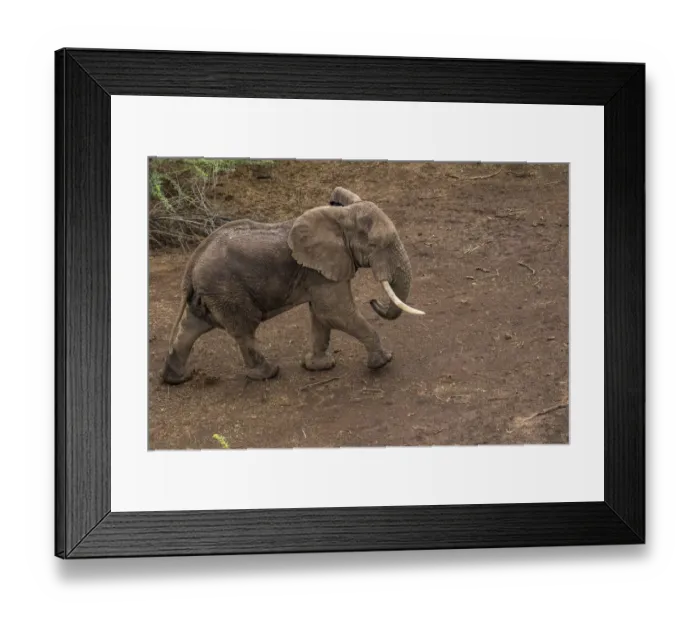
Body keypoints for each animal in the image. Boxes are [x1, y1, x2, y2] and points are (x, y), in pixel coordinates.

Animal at [161, 187, 425, 385]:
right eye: (374, 245)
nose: (374, 301)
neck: (341, 217)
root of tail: (192, 264)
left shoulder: (318, 272)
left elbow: (321, 315)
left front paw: (319, 367)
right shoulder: (320, 270)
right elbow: (335, 312)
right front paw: (383, 361)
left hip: (212, 292)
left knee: (192, 326)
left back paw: (176, 378)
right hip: (225, 289)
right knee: (244, 328)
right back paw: (269, 373)